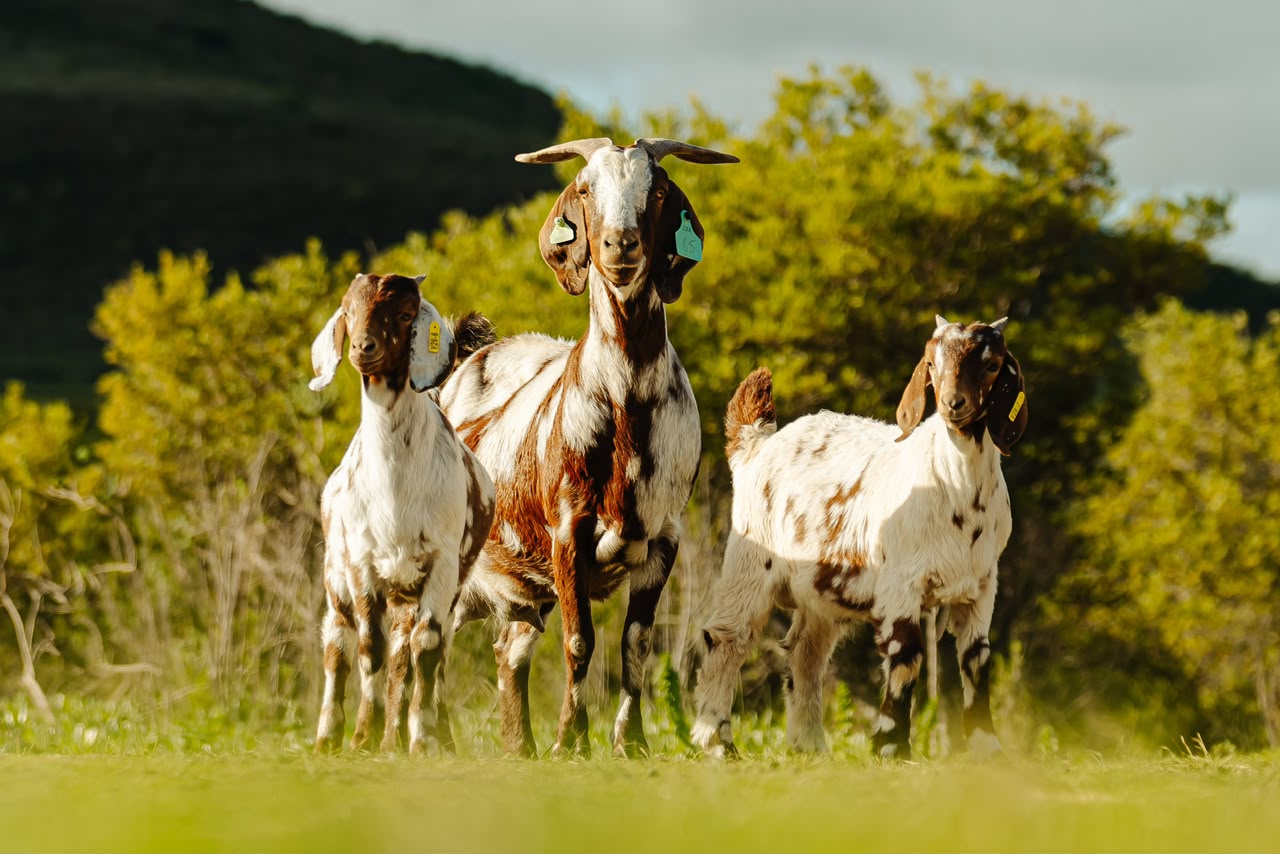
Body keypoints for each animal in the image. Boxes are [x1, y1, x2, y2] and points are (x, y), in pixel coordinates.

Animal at [310, 272, 496, 755]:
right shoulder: (361, 565)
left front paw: (423, 738)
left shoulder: (442, 565)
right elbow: (369, 647)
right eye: (348, 310)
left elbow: (425, 649)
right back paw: (329, 736)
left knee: (416, 652)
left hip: (422, 589)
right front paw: (362, 736)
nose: (363, 346)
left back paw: (411, 734)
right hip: (335, 573)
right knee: (337, 642)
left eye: (406, 313)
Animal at [439, 137, 738, 757]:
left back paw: (518, 746)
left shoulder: (663, 537)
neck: (627, 406)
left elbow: (636, 646)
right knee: (415, 640)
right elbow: (580, 642)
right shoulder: (567, 531)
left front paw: (630, 741)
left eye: (658, 189)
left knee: (508, 650)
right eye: (583, 187)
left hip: (523, 586)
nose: (619, 244)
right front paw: (570, 740)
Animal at [693, 316, 1027, 758]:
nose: (954, 404)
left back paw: (809, 744)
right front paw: (891, 744)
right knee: (727, 637)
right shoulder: (901, 583)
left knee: (806, 653)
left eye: (992, 366)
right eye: (932, 364)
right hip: (750, 558)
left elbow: (977, 660)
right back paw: (717, 740)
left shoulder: (982, 584)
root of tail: (755, 446)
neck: (957, 488)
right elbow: (907, 655)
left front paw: (986, 746)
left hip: (818, 592)